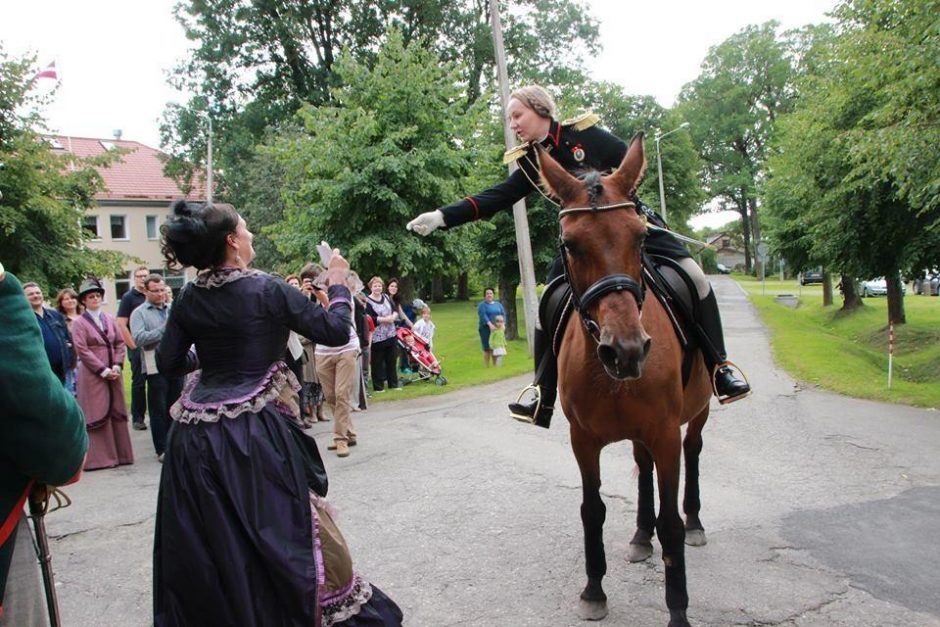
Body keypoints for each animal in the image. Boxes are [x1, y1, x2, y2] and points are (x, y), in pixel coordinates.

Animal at [540, 134, 708, 627]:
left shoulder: (665, 433)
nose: (627, 351)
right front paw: (594, 590)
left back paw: (695, 523)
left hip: (699, 413)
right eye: (571, 244)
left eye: (640, 236)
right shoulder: (583, 440)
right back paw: (639, 535)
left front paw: (678, 610)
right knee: (642, 465)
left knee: (694, 452)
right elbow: (592, 510)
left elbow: (671, 521)